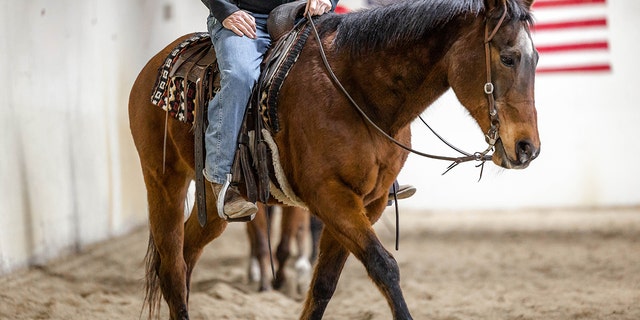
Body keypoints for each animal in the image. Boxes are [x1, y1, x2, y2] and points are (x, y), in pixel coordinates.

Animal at [129, 1, 540, 318]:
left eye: (536, 59)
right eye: (508, 57)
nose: (527, 148)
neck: (356, 92)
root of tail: (153, 66)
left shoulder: (368, 203)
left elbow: (324, 283)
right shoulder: (330, 197)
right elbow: (384, 267)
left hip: (218, 209)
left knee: (187, 254)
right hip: (162, 183)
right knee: (171, 266)